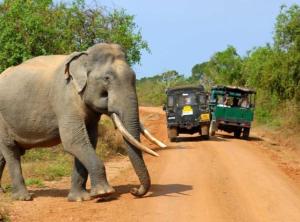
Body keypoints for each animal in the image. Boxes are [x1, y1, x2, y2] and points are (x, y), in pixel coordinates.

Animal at [0, 43, 165, 201]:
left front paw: (80, 198)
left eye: (134, 77)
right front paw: (104, 193)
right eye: (107, 78)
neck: (83, 57)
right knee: (11, 151)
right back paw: (23, 198)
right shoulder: (65, 99)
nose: (134, 191)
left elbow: (89, 141)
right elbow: (74, 141)